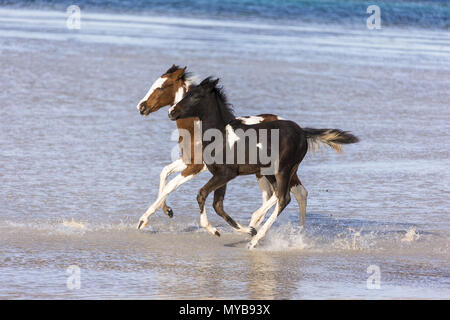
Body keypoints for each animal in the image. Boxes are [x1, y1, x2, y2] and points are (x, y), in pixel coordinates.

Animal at [134, 65, 310, 231]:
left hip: (278, 170)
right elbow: (165, 172)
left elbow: (171, 185)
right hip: (264, 172)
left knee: (295, 193)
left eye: (162, 86)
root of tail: (301, 131)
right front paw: (167, 210)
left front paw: (143, 219)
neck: (197, 129)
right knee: (279, 194)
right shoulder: (187, 161)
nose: (141, 107)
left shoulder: (196, 166)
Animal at [169, 78, 358, 250]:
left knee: (284, 198)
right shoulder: (220, 175)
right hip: (271, 171)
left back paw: (255, 239)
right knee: (284, 194)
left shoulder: (226, 174)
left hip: (282, 169)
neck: (221, 136)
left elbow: (202, 194)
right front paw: (247, 230)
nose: (172, 112)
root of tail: (302, 132)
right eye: (186, 94)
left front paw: (215, 230)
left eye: (195, 96)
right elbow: (218, 206)